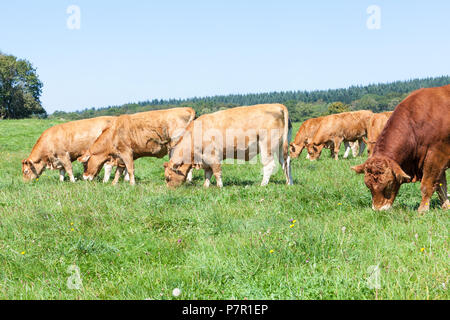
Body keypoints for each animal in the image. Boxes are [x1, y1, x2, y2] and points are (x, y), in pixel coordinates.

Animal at [163, 104, 294, 188]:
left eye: (168, 177)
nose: (169, 189)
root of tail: (277, 105)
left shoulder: (212, 156)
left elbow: (216, 171)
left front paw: (220, 186)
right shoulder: (205, 160)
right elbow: (207, 173)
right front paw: (205, 186)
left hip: (267, 145)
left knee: (269, 165)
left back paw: (263, 184)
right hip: (281, 147)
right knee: (286, 162)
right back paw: (289, 183)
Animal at [354, 84, 448, 212]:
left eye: (389, 184)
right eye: (368, 186)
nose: (378, 210)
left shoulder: (436, 156)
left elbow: (427, 185)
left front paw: (422, 210)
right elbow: (441, 187)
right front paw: (447, 207)